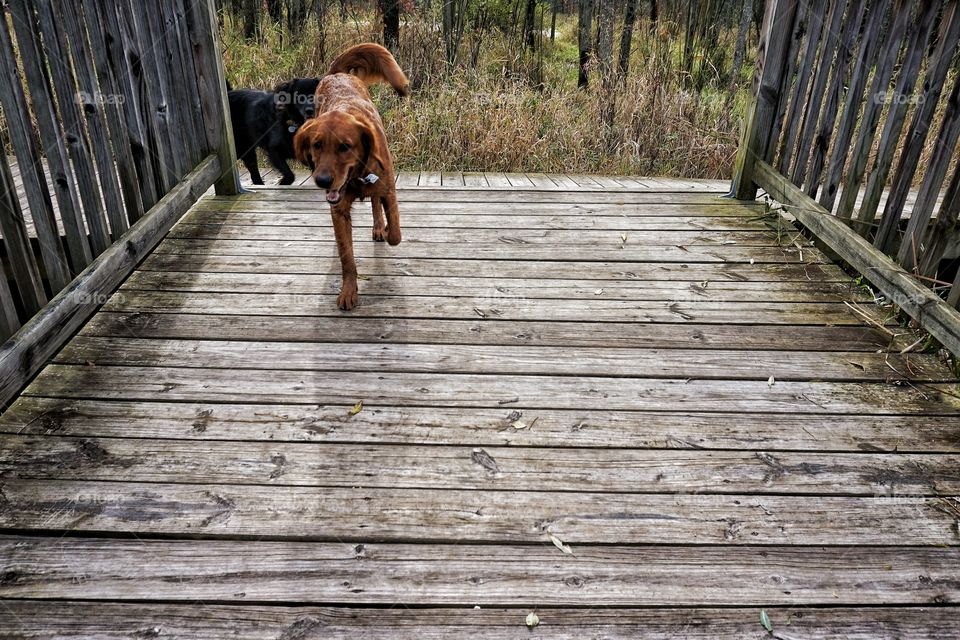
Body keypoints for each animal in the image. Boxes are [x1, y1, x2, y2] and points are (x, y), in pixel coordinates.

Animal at [296, 43, 408, 310]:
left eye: (345, 146)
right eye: (316, 145)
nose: (322, 181)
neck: (356, 176)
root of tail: (337, 74)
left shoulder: (388, 190)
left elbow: (396, 233)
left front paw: (386, 229)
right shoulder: (338, 209)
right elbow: (347, 257)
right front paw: (348, 291)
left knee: (376, 205)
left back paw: (379, 227)